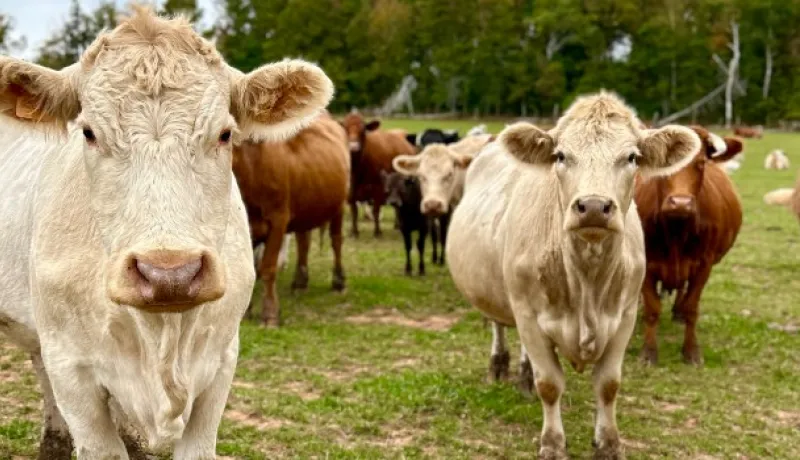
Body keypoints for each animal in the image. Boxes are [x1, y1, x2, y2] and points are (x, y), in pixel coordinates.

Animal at [233, 114, 349, 327]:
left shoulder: (278, 220)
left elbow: (268, 268)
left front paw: (270, 314)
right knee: (304, 243)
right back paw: (300, 281)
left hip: (339, 205)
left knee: (336, 241)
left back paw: (338, 281)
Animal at [446, 91, 700, 459]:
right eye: (561, 155)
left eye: (632, 157)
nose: (593, 206)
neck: (586, 281)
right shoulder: (526, 313)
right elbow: (550, 384)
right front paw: (553, 443)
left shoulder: (625, 316)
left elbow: (608, 385)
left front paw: (608, 442)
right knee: (498, 325)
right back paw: (499, 366)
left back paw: (522, 375)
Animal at [634, 126, 743, 366]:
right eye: (664, 163)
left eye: (701, 163)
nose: (681, 203)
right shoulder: (645, 264)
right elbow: (652, 309)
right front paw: (648, 352)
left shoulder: (704, 265)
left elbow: (692, 307)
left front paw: (691, 351)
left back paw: (678, 312)